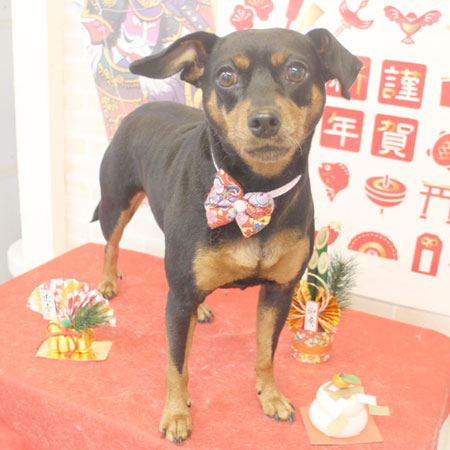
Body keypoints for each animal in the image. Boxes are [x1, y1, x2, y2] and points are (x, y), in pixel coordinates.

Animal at [92, 28, 362, 444]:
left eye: (297, 71)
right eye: (225, 76)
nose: (264, 120)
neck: (255, 189)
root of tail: (139, 109)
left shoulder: (279, 291)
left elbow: (265, 352)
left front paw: (271, 397)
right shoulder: (179, 297)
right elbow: (176, 364)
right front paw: (176, 414)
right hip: (116, 200)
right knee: (112, 242)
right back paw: (108, 281)